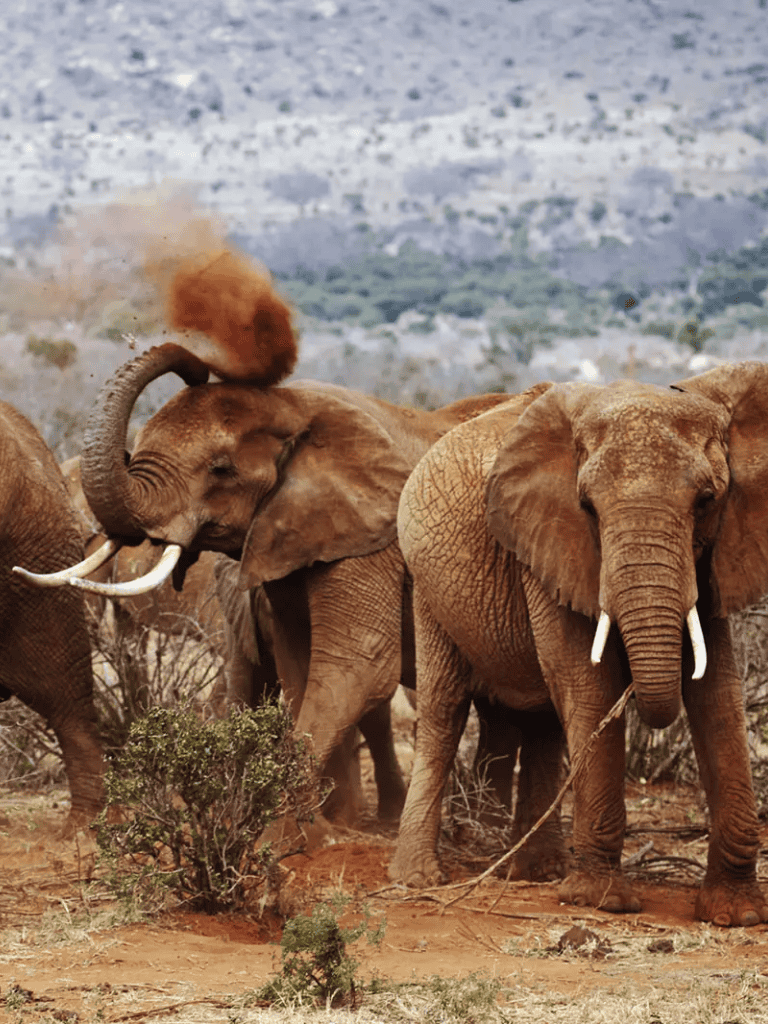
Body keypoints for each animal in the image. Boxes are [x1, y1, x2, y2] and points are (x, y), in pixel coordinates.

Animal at [390, 366, 768, 928]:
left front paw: (736, 913)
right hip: (427, 586)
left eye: (706, 500)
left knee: (545, 720)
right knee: (444, 709)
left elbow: (718, 693)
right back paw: (418, 879)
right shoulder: (548, 542)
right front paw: (601, 901)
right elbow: (588, 684)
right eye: (587, 506)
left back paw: (536, 873)